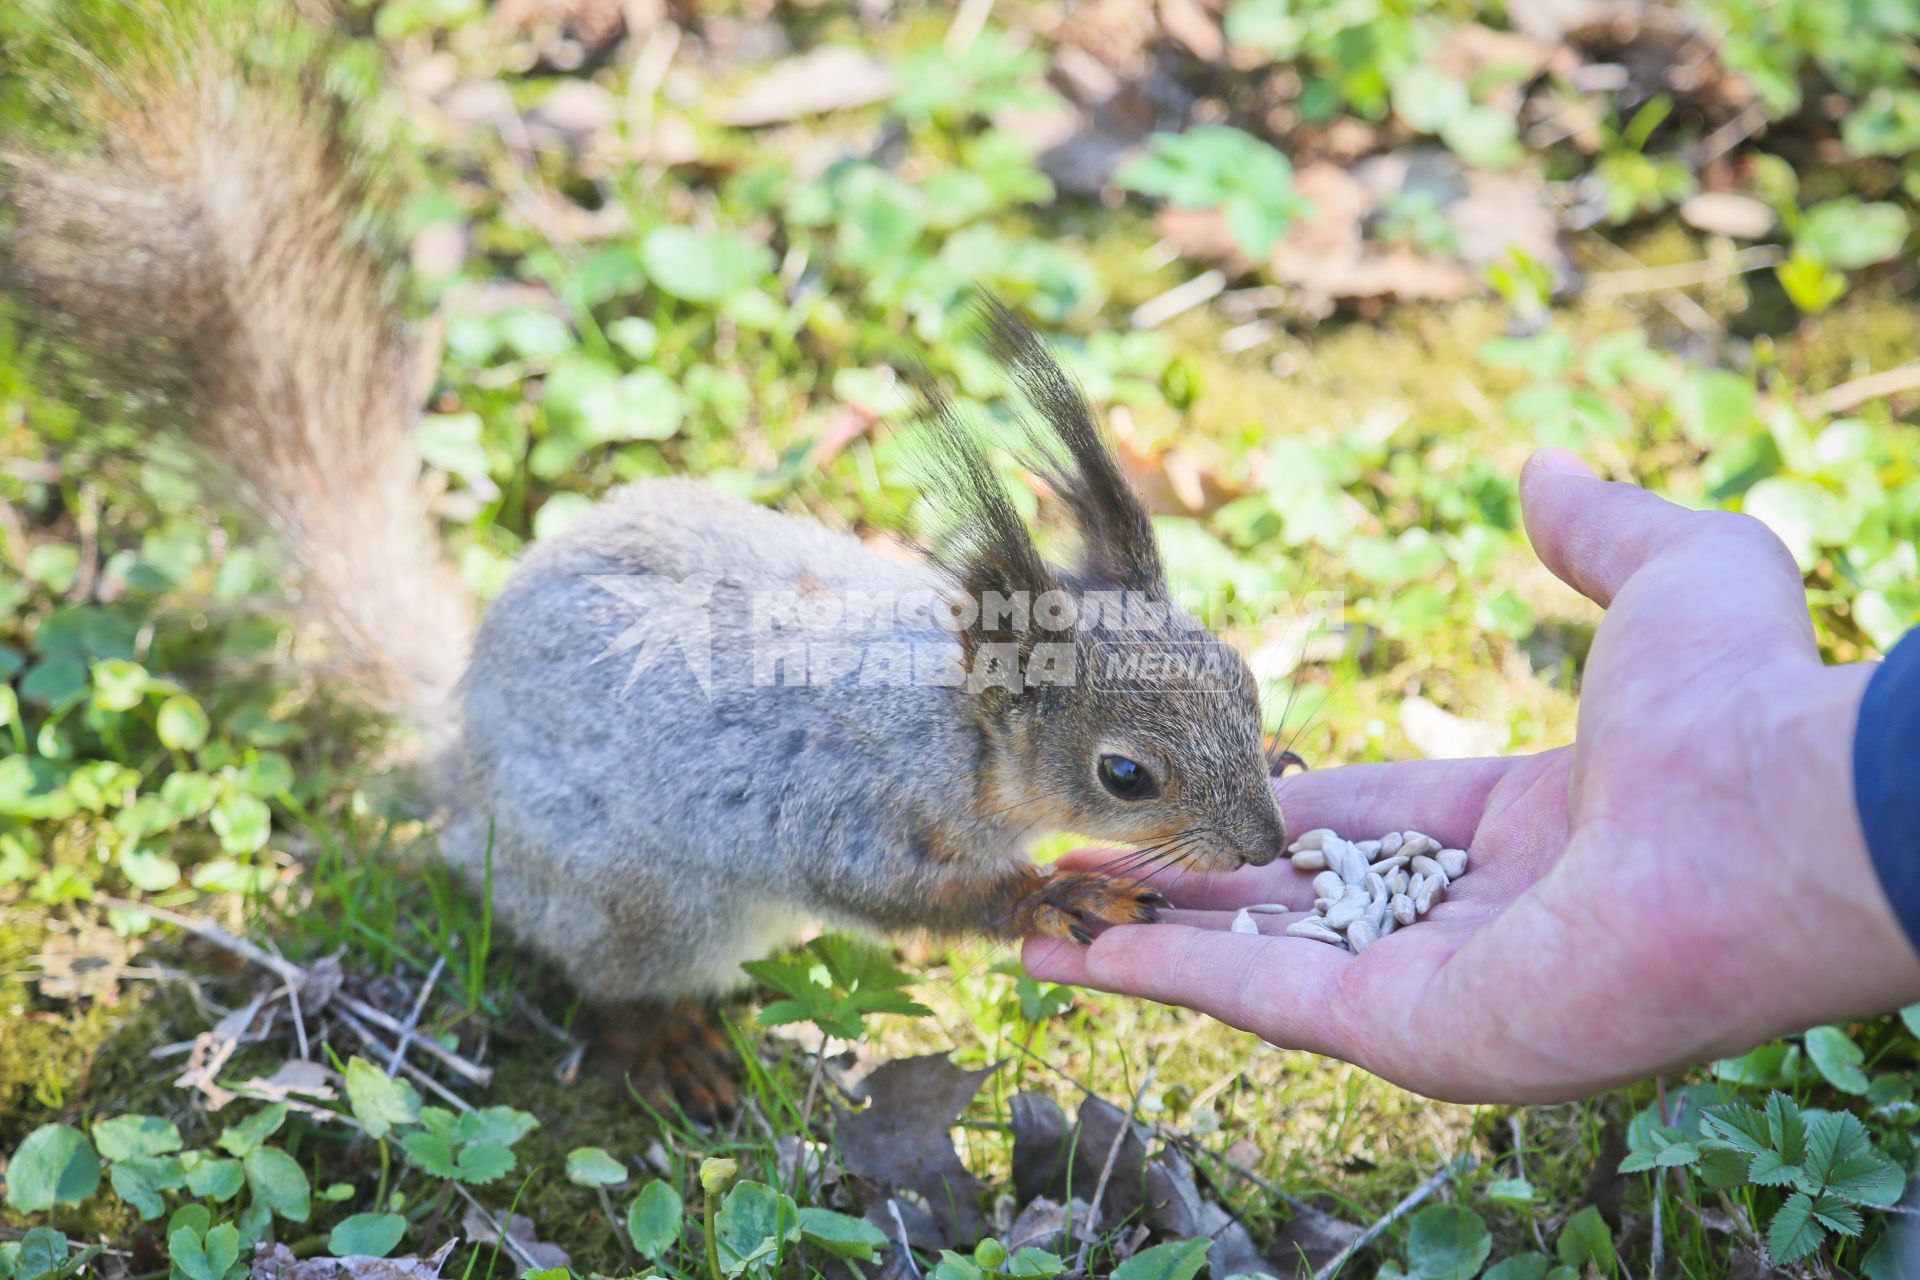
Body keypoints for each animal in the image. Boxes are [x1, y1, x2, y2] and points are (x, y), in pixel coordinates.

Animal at [3, 5, 1290, 1113]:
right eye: (1126, 775)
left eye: (1243, 678)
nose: (1269, 845)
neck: (956, 727)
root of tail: (462, 753)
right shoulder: (842, 806)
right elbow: (893, 891)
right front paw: (1056, 889)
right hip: (634, 903)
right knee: (614, 983)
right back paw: (670, 1046)